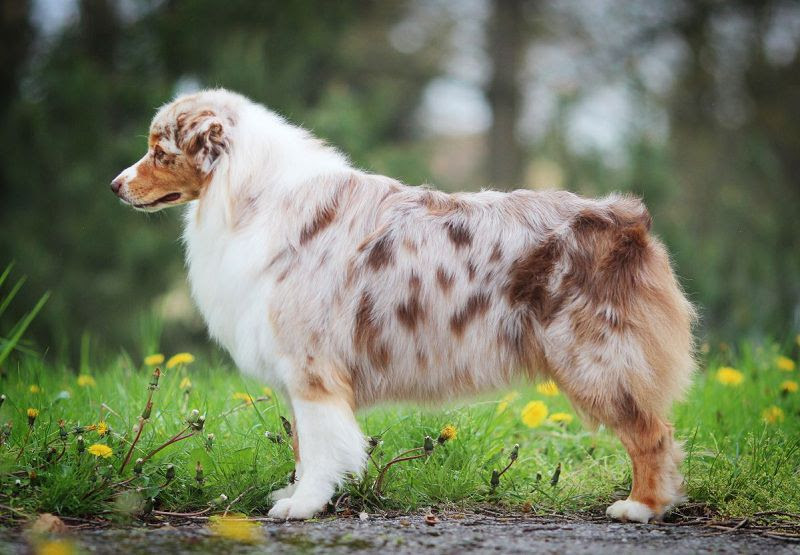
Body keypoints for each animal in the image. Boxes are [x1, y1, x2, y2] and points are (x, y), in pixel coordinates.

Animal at [111, 89, 692, 524]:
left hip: (595, 358)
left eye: (159, 152)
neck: (250, 196)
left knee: (652, 434)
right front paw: (295, 495)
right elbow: (301, 445)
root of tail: (626, 219)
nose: (115, 185)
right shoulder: (298, 372)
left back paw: (641, 507)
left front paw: (304, 505)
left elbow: (319, 448)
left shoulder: (311, 367)